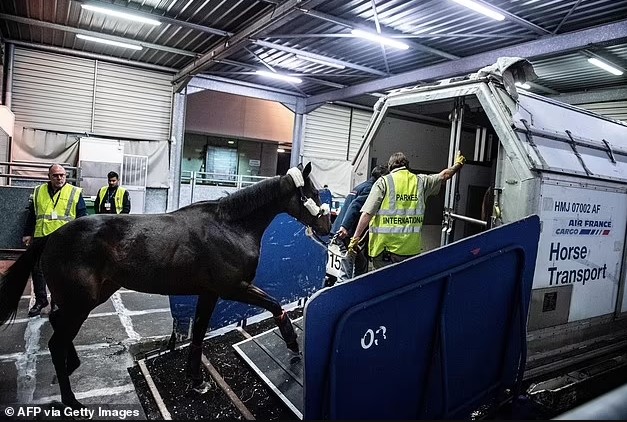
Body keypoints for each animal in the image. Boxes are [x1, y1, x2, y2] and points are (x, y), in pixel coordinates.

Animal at [0, 163, 332, 410]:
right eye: (314, 192)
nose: (327, 227)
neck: (230, 227)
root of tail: (49, 238)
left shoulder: (209, 293)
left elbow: (198, 334)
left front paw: (197, 381)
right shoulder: (233, 287)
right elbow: (274, 304)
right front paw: (292, 343)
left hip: (87, 298)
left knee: (58, 326)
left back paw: (71, 366)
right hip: (80, 302)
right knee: (56, 342)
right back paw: (70, 399)